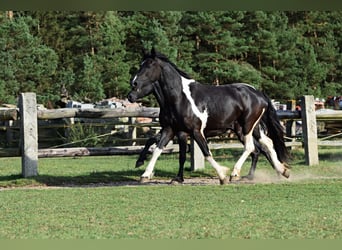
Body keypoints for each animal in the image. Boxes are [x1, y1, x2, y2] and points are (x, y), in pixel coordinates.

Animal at [127, 47, 290, 185]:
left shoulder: (194, 131)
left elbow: (205, 152)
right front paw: (145, 174)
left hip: (247, 126)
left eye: (149, 65)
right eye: (141, 65)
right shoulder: (170, 130)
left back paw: (236, 173)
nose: (133, 85)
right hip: (249, 128)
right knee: (267, 144)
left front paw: (222, 176)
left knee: (251, 147)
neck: (180, 98)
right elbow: (157, 149)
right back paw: (282, 171)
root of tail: (259, 93)